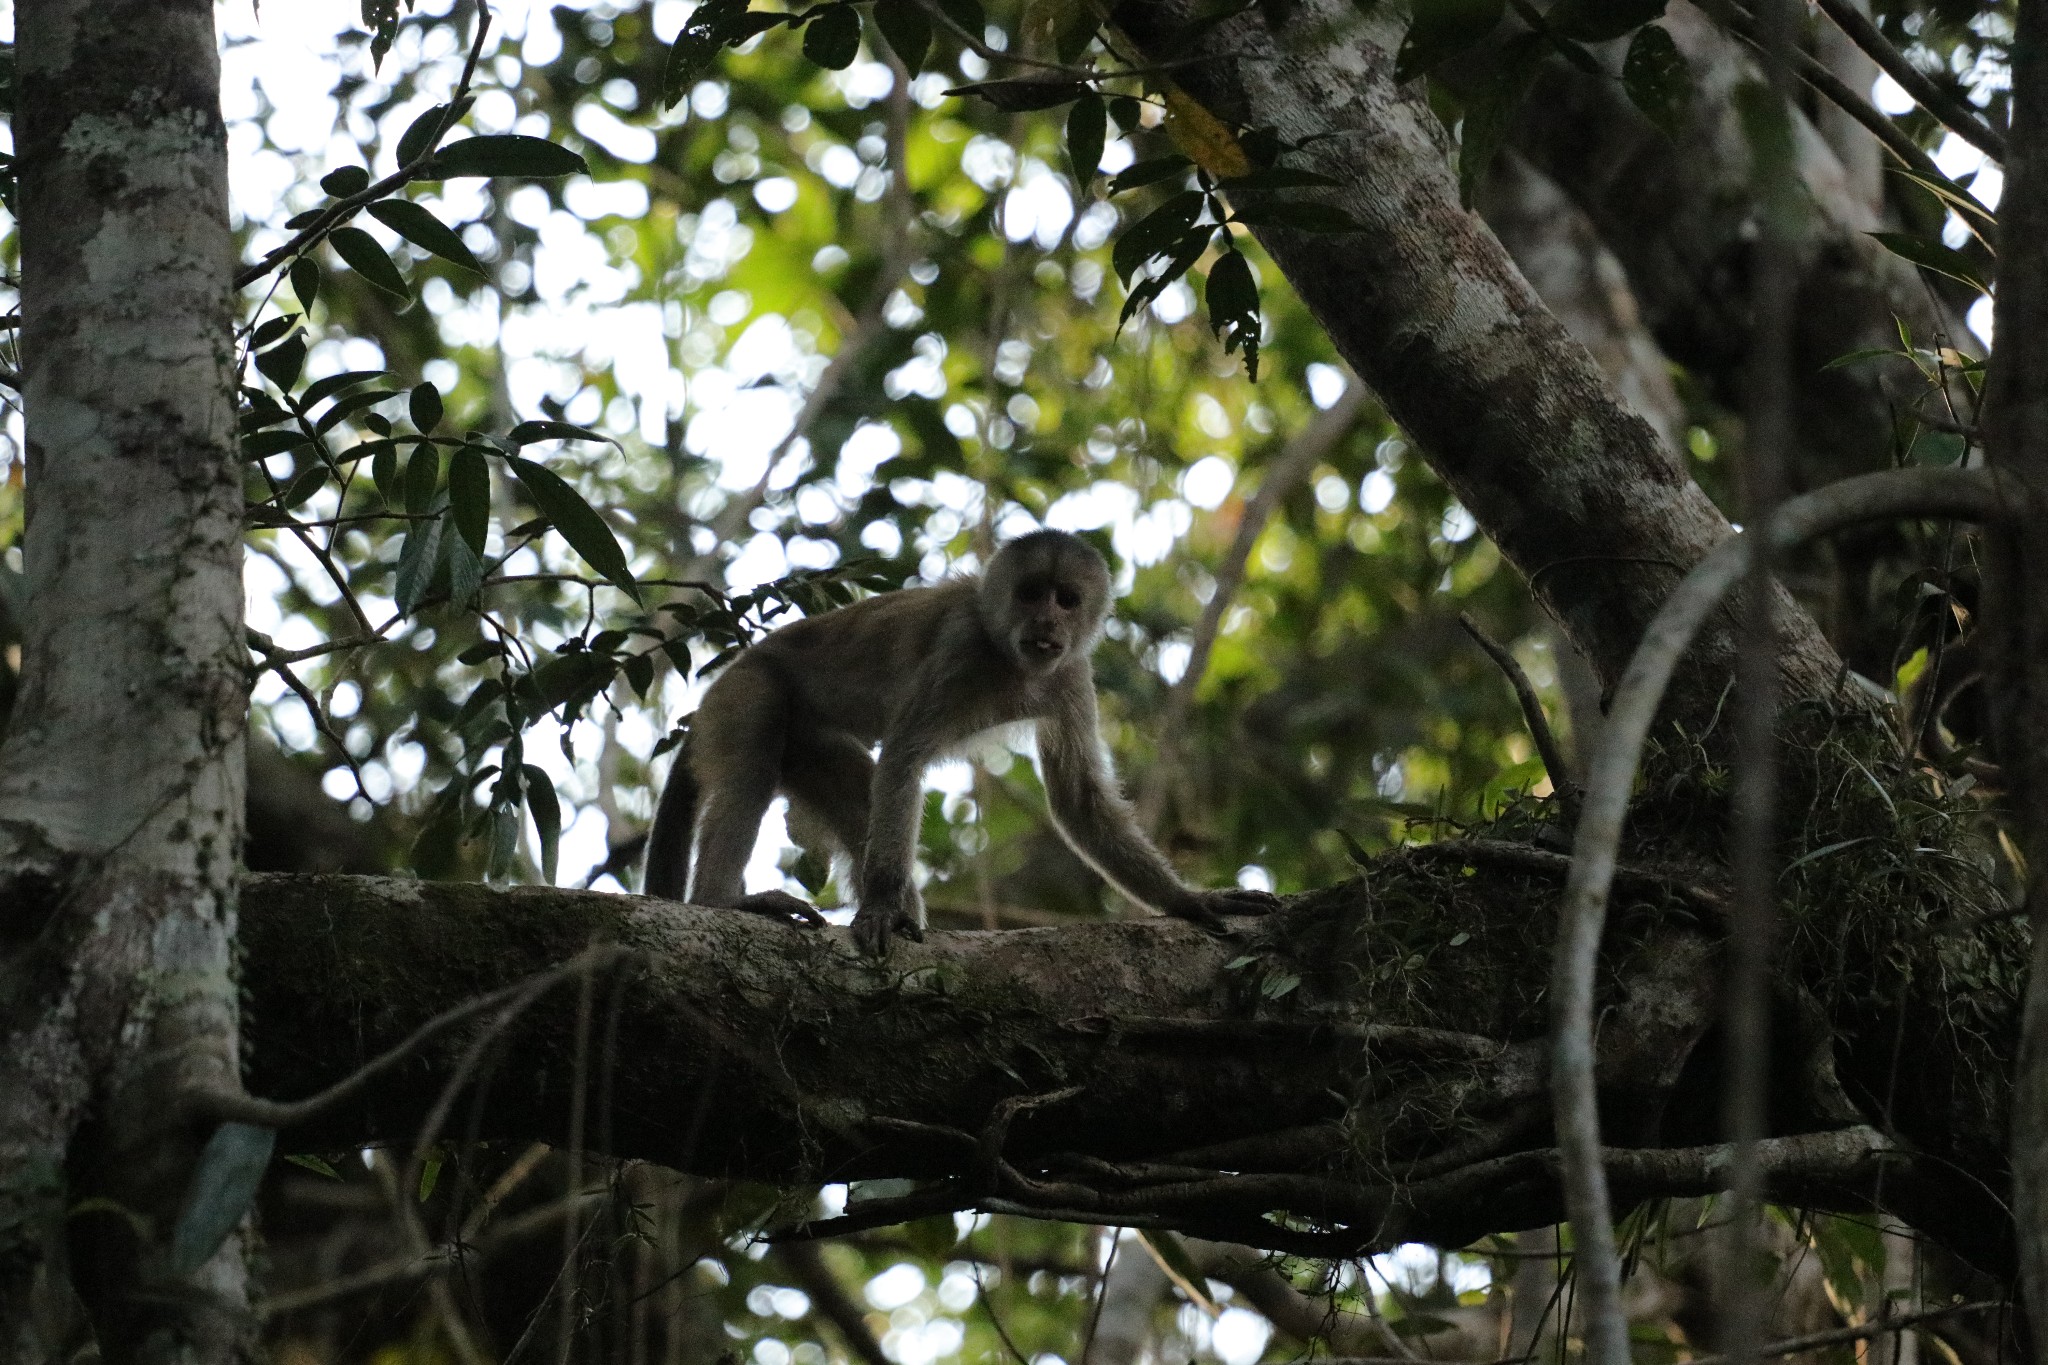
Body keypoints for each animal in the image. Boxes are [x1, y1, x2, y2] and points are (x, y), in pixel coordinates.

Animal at [647, 527, 1269, 957]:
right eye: (1030, 594)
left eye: (1065, 600)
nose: (1047, 622)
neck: (1007, 658)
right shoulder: (961, 645)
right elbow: (904, 755)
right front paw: (879, 905)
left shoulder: (1071, 674)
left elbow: (1080, 801)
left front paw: (1189, 902)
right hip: (746, 691)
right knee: (754, 762)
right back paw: (721, 901)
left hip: (805, 738)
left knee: (855, 789)